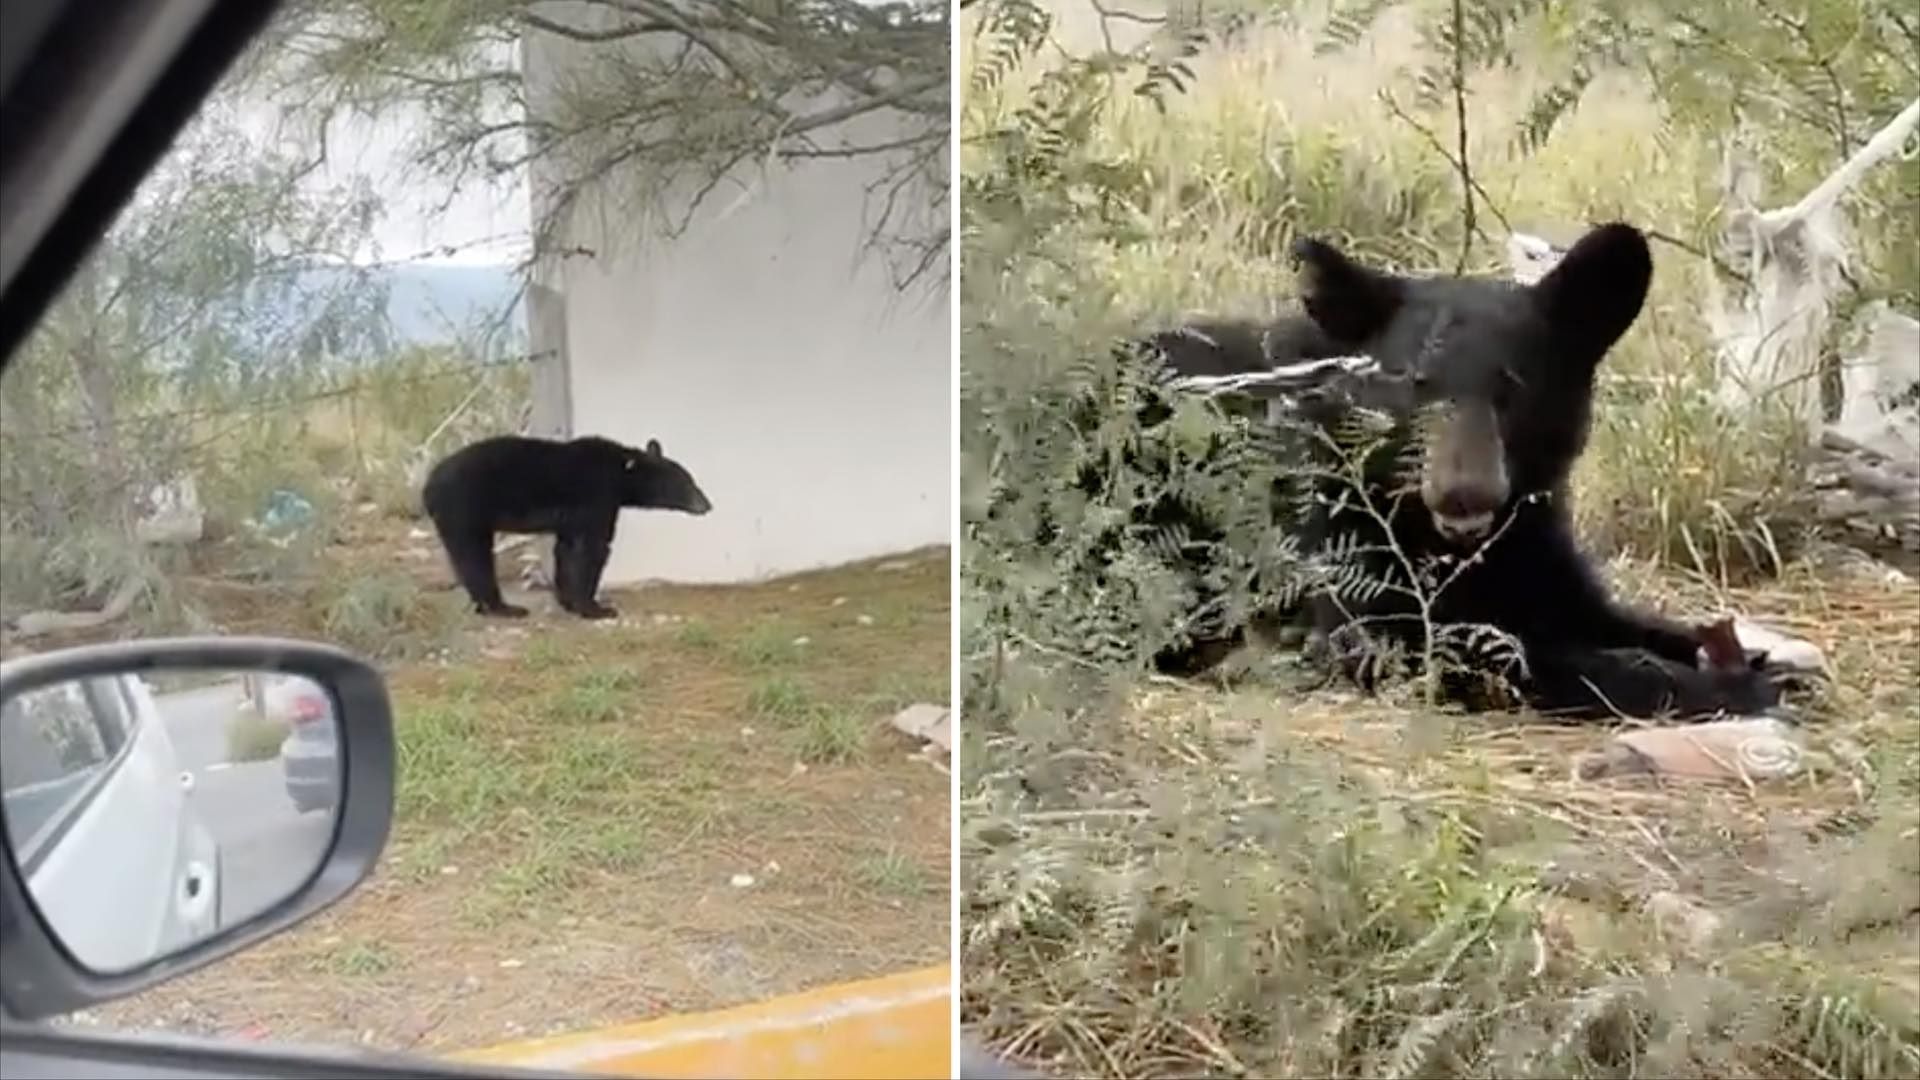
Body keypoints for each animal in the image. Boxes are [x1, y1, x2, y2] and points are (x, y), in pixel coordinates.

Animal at [420, 428, 714, 614]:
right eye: (685, 483)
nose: (707, 505)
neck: (619, 475)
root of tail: (427, 487)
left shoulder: (573, 517)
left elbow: (566, 549)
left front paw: (568, 602)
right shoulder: (596, 498)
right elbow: (592, 549)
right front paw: (595, 608)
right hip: (465, 508)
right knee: (474, 555)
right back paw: (503, 607)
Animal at [1121, 221, 1797, 718]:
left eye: (1514, 385)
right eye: (1414, 383)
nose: (1462, 495)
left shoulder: (1533, 538)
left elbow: (1596, 611)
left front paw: (1761, 661)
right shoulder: (1336, 538)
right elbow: (1460, 648)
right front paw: (1721, 686)